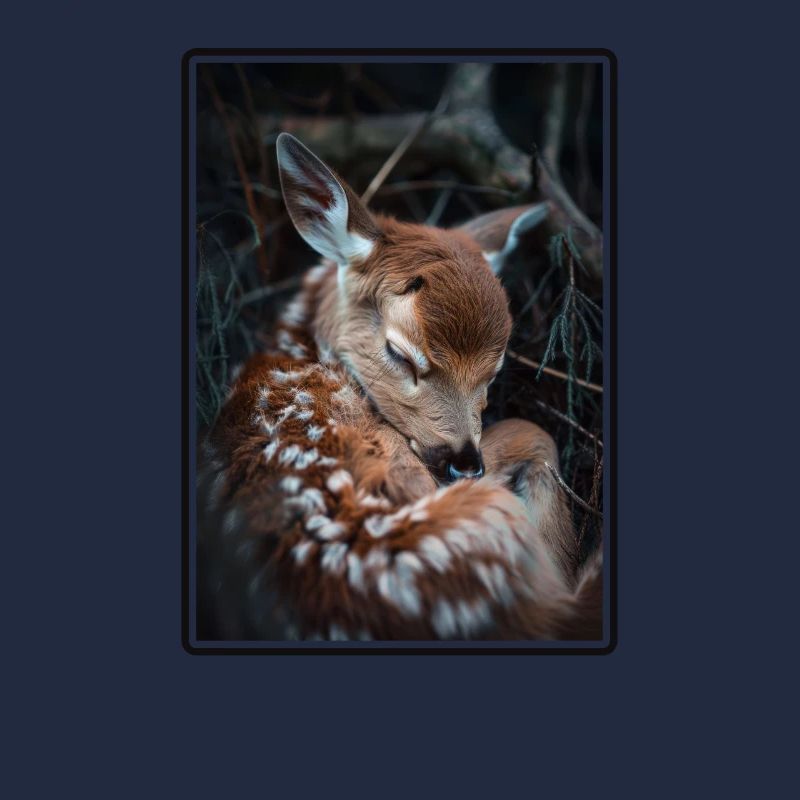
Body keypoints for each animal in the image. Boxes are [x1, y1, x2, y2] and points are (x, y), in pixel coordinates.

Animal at [197, 132, 603, 642]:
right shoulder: (407, 464)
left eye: (494, 370)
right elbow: (532, 430)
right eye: (400, 353)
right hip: (481, 517)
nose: (464, 462)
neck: (300, 348)